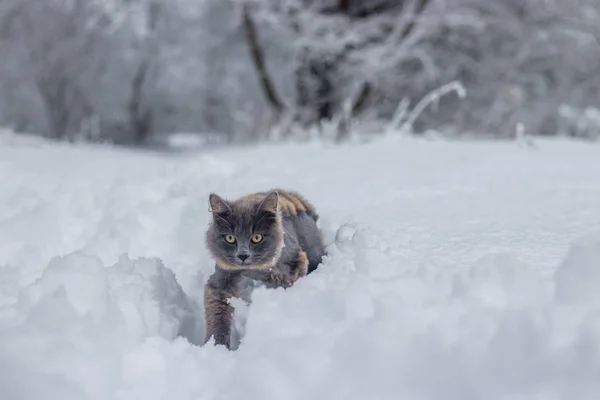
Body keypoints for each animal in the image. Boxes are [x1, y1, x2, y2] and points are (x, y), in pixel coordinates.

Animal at [203, 189, 326, 348]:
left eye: (257, 238)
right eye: (230, 238)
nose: (243, 255)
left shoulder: (296, 261)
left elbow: (278, 275)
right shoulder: (220, 283)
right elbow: (217, 317)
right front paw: (217, 347)